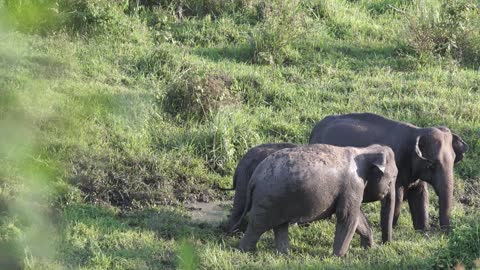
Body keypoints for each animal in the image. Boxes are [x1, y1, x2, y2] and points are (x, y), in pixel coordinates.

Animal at [231, 143, 400, 255]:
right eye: (393, 178)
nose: (386, 245)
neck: (365, 150)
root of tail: (254, 177)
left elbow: (357, 217)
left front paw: (370, 247)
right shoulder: (353, 184)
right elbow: (347, 216)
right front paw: (338, 257)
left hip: (279, 200)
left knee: (280, 226)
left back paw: (284, 255)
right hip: (268, 200)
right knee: (257, 225)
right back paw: (246, 251)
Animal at [308, 112, 468, 230]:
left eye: (454, 160)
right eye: (432, 165)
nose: (445, 232)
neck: (417, 131)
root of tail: (315, 129)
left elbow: (421, 195)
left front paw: (422, 231)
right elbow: (398, 196)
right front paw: (394, 227)